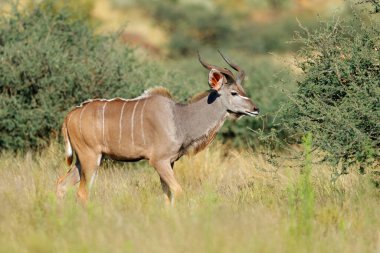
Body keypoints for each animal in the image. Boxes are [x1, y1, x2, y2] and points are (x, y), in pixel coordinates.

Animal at [55, 52, 258, 205]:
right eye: (234, 92)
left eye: (243, 91)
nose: (256, 109)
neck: (179, 118)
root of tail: (70, 115)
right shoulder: (158, 161)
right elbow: (178, 192)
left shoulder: (170, 162)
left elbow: (167, 195)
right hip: (91, 158)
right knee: (82, 192)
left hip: (84, 160)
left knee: (62, 184)